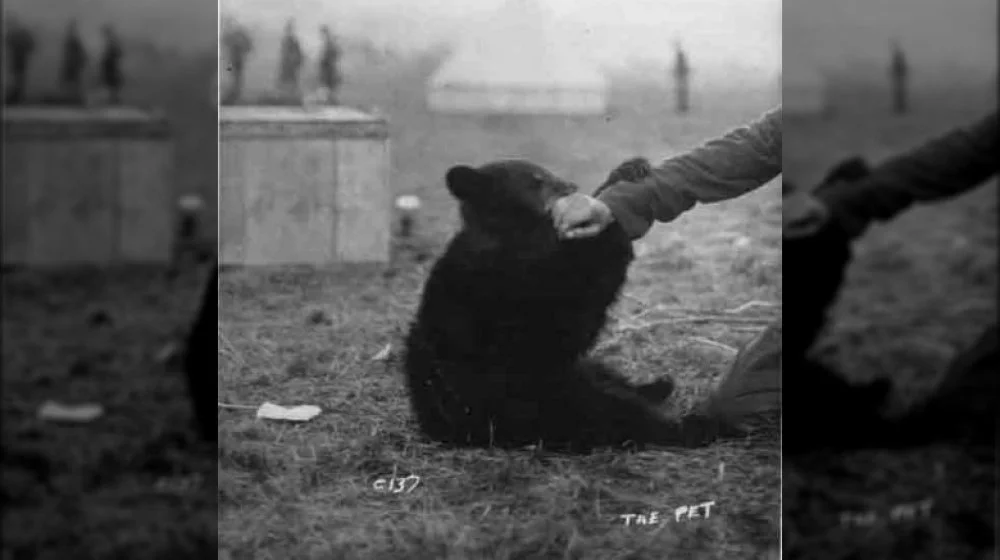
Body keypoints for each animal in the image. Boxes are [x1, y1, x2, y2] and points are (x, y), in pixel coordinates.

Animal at [403, 159, 719, 453]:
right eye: (536, 179)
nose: (571, 186)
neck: (517, 231)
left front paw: (628, 170)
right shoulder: (507, 289)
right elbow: (571, 314)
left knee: (609, 379)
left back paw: (659, 385)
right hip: (540, 404)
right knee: (616, 414)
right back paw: (696, 425)